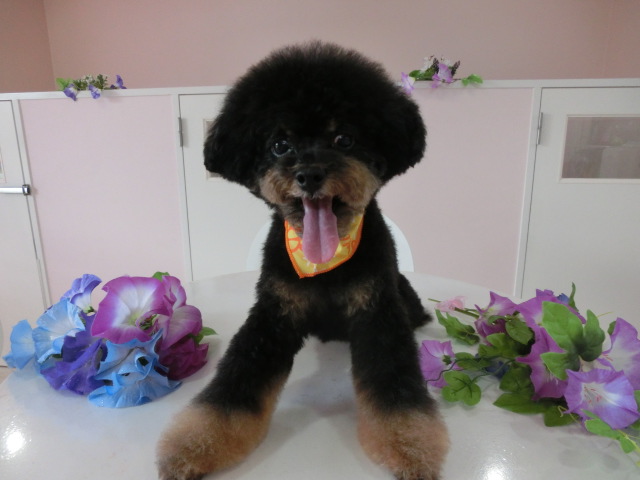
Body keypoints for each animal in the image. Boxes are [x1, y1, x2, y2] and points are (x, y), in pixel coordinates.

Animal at [156, 41, 449, 480]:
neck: (324, 264)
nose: (309, 174)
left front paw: (411, 449)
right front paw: (192, 447)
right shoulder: (274, 313)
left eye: (344, 138)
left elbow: (395, 389)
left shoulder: (378, 311)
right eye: (281, 145)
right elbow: (234, 388)